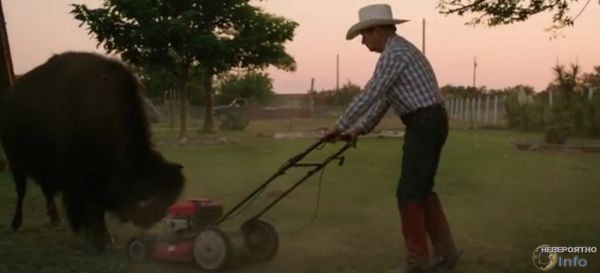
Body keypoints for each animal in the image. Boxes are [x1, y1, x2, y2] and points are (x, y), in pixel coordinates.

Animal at [0, 51, 185, 251]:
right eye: (151, 197)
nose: (146, 221)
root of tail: (9, 99)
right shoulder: (80, 177)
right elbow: (92, 207)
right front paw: (96, 239)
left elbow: (99, 208)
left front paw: (105, 237)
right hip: (16, 163)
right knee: (22, 192)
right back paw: (17, 223)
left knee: (47, 192)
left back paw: (56, 219)